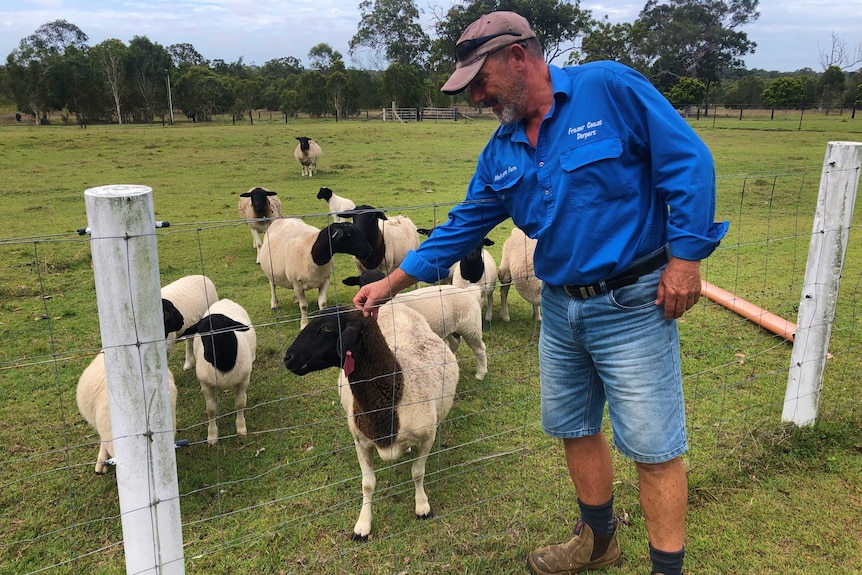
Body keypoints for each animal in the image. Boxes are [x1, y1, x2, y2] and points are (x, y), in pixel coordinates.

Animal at [185, 300, 256, 448]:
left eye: (222, 331)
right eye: (201, 332)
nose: (208, 354)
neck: (223, 364)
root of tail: (225, 300)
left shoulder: (243, 381)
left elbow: (240, 404)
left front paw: (241, 429)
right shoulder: (205, 384)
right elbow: (211, 410)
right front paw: (212, 437)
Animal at [284, 304, 460, 544]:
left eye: (328, 327)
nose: (288, 357)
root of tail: (396, 305)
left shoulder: (426, 438)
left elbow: (417, 473)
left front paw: (422, 507)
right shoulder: (361, 441)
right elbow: (367, 484)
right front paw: (362, 526)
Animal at [346, 272, 492, 380]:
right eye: (362, 281)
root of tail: (470, 292)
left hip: (471, 328)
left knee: (480, 349)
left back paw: (481, 373)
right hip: (452, 326)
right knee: (455, 342)